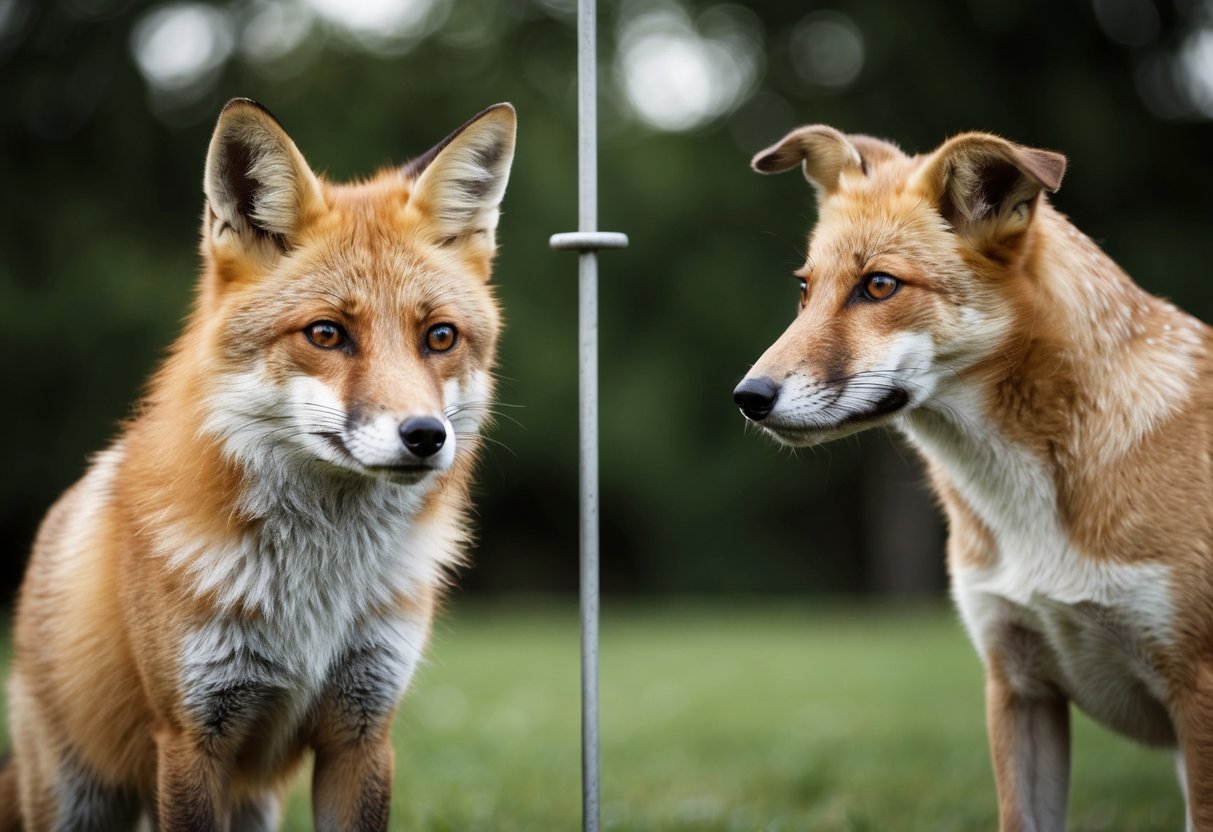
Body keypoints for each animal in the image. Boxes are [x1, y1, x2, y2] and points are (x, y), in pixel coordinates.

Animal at [0, 98, 516, 830]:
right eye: (327, 333)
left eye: (440, 337)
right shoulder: (192, 737)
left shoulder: (362, 730)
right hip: (83, 799)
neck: (317, 591)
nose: (425, 436)